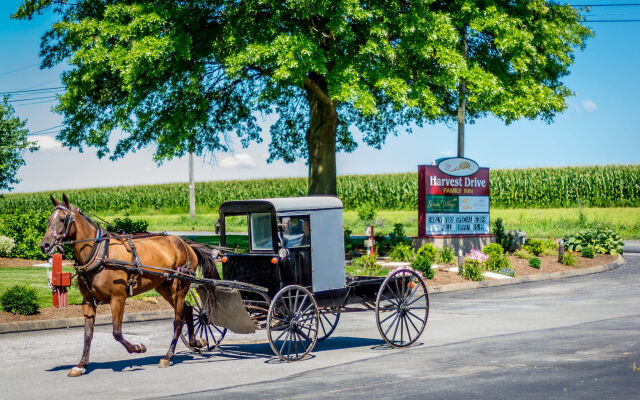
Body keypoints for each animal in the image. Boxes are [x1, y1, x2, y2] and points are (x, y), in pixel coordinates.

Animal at [40, 195, 221, 376]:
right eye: (48, 220)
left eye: (62, 219)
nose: (45, 245)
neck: (100, 253)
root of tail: (186, 243)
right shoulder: (88, 302)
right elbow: (88, 334)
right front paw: (81, 365)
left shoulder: (118, 298)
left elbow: (117, 332)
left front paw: (137, 348)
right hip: (164, 287)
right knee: (188, 310)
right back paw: (195, 341)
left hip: (181, 285)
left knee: (178, 320)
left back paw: (168, 356)